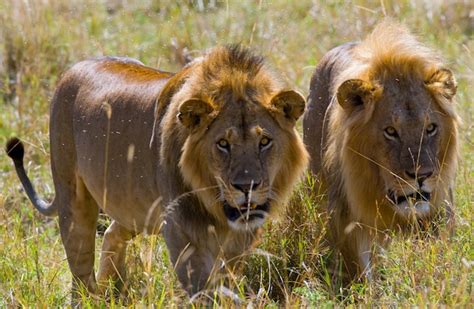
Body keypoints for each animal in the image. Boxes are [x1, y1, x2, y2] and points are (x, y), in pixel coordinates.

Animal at [5, 44, 310, 300]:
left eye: (265, 141)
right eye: (223, 144)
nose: (247, 186)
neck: (215, 207)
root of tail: (74, 67)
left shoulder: (240, 240)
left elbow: (227, 279)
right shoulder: (181, 232)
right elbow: (204, 288)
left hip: (133, 209)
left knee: (112, 233)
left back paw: (111, 288)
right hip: (73, 198)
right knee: (80, 269)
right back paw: (91, 297)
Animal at [304, 19, 460, 280]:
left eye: (430, 128)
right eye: (390, 131)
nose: (421, 176)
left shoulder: (439, 213)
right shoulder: (347, 218)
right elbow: (361, 272)